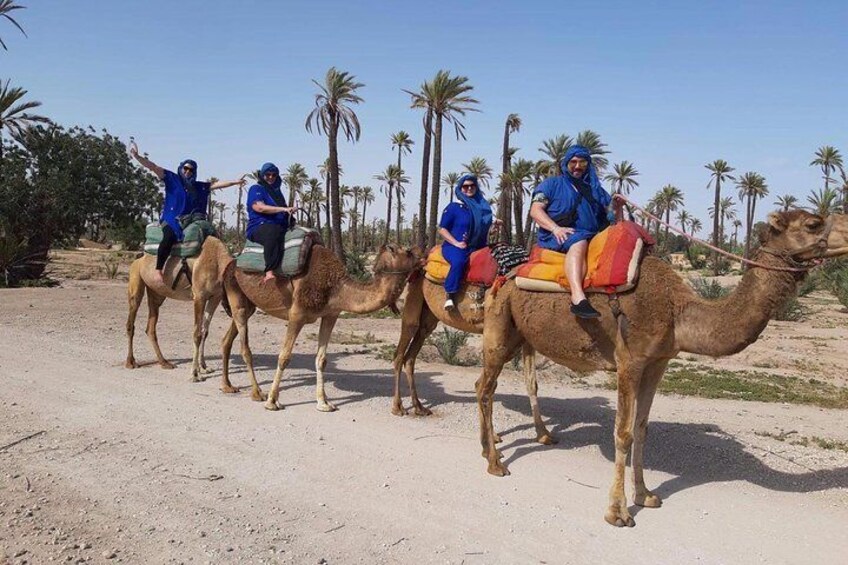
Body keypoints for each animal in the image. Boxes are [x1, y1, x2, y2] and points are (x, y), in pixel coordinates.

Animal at [125, 234, 232, 378]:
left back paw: (164, 363)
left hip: (156, 293)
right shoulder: (199, 296)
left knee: (150, 327)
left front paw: (204, 367)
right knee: (131, 321)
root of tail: (139, 259)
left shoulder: (215, 297)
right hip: (135, 279)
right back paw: (130, 362)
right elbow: (197, 333)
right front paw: (194, 373)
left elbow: (205, 332)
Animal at [217, 242, 420, 410]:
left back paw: (227, 386)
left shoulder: (330, 315)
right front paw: (272, 401)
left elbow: (321, 359)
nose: (422, 256)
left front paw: (324, 402)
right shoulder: (296, 315)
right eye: (409, 252)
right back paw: (257, 392)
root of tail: (231, 264)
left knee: (227, 339)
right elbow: (284, 357)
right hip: (236, 296)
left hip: (249, 304)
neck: (337, 287)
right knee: (244, 347)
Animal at [390, 274, 556, 446]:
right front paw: (492, 436)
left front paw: (543, 434)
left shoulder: (524, 336)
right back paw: (398, 407)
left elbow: (531, 383)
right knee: (401, 350)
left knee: (411, 356)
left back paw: (419, 407)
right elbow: (489, 386)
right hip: (414, 299)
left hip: (429, 318)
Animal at [474, 209, 848, 528]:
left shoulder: (658, 363)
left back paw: (487, 449)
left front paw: (646, 495)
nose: (846, 230)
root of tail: (505, 276)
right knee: (486, 387)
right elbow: (622, 433)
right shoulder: (629, 361)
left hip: (520, 333)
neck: (676, 310)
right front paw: (618, 512)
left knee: (484, 384)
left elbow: (641, 429)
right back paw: (495, 463)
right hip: (500, 326)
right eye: (813, 223)